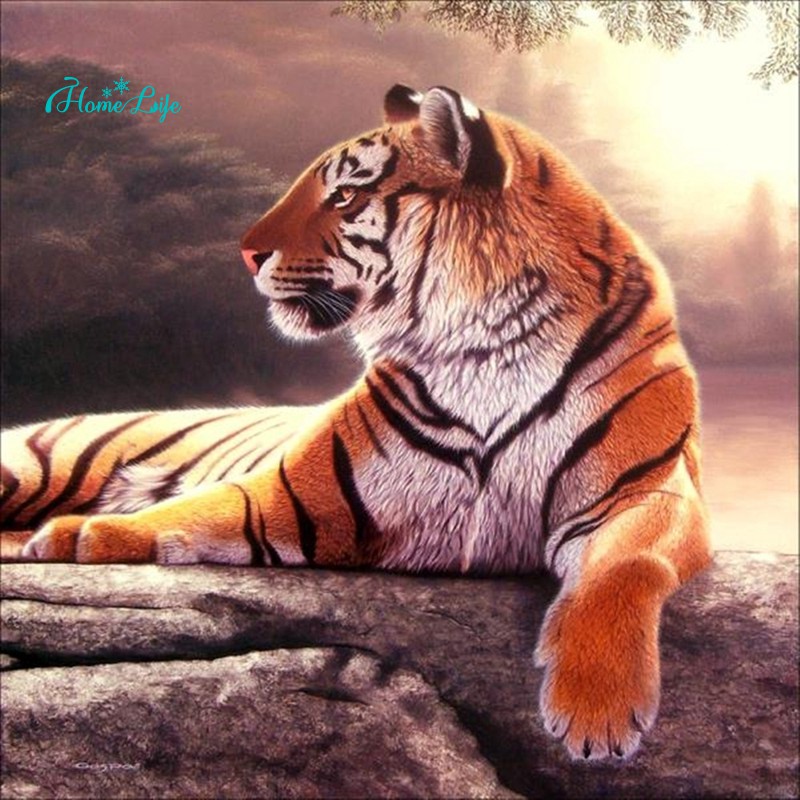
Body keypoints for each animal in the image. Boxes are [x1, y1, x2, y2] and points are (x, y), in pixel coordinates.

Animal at [0, 84, 711, 761]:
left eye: (344, 195)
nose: (246, 254)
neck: (485, 348)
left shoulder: (648, 492)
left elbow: (624, 566)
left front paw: (598, 710)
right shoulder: (289, 495)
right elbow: (184, 513)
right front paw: (77, 535)